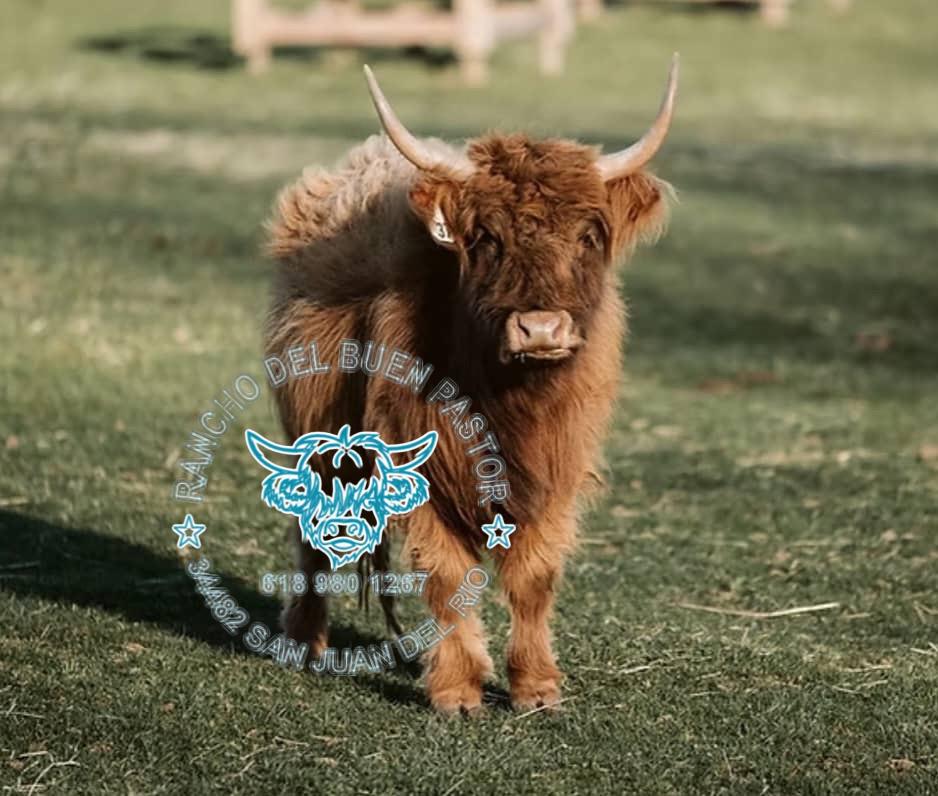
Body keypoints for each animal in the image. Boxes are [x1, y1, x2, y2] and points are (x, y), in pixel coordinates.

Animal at [263, 57, 679, 713]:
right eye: (486, 238)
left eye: (588, 235)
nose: (541, 328)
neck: (507, 400)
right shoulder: (420, 465)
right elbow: (446, 575)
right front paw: (457, 689)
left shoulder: (557, 469)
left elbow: (534, 577)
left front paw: (536, 686)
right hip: (313, 424)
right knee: (310, 539)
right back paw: (305, 639)